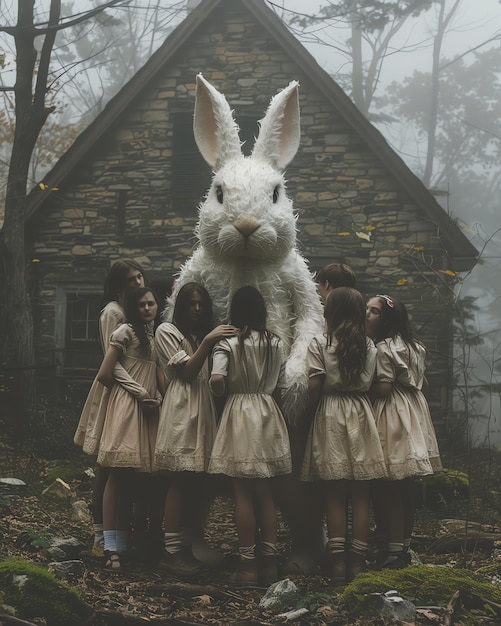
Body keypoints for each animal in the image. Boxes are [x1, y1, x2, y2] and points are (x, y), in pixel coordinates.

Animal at [167, 73, 324, 414]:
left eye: (276, 193)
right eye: (219, 192)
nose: (247, 225)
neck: (245, 259)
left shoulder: (299, 278)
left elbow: (310, 319)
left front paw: (294, 386)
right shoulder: (192, 273)